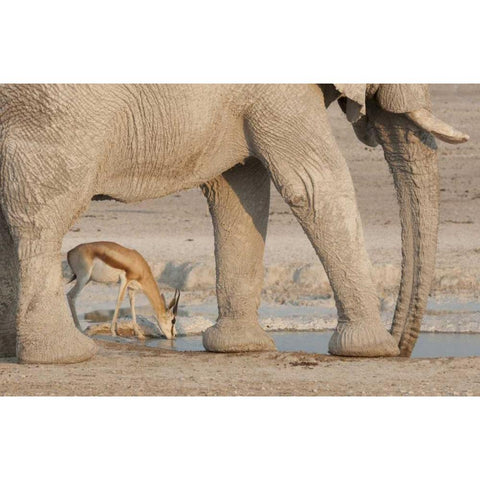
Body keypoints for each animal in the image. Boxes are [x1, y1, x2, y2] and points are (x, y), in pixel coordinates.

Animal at [0, 84, 466, 362]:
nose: (403, 349)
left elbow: (238, 191)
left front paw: (239, 347)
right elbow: (315, 185)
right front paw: (371, 349)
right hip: (55, 115)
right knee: (42, 210)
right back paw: (63, 354)